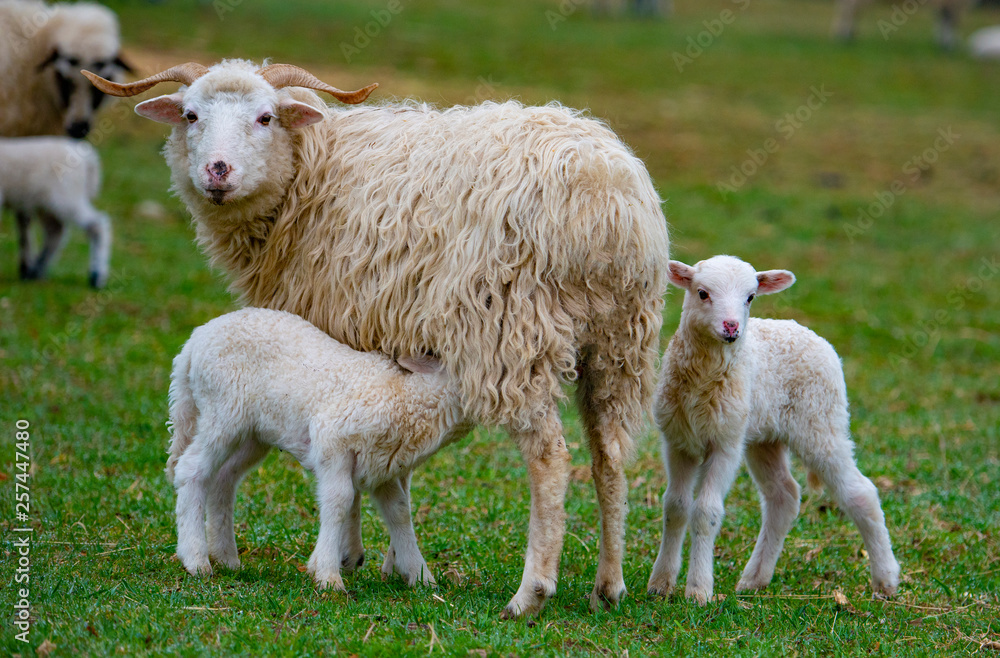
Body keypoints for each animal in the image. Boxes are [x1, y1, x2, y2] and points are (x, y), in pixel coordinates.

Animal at [1, 136, 111, 288]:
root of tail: (89, 160)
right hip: (46, 203)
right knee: (55, 232)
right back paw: (36, 271)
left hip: (66, 196)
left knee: (96, 225)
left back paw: (97, 277)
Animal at [168, 307, 471, 591]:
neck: (404, 397)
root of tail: (193, 342)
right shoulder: (333, 444)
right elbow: (339, 501)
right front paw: (327, 575)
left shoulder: (380, 465)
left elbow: (399, 511)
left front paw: (421, 577)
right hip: (223, 410)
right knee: (191, 469)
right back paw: (196, 559)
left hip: (254, 432)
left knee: (224, 477)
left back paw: (227, 558)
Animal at [646, 255, 900, 604]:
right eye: (702, 293)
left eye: (750, 297)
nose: (731, 327)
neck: (703, 380)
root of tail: (807, 332)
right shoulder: (678, 440)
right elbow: (675, 506)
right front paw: (660, 584)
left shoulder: (726, 442)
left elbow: (706, 511)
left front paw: (698, 590)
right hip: (765, 437)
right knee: (784, 495)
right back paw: (754, 579)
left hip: (821, 422)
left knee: (861, 492)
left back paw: (886, 580)